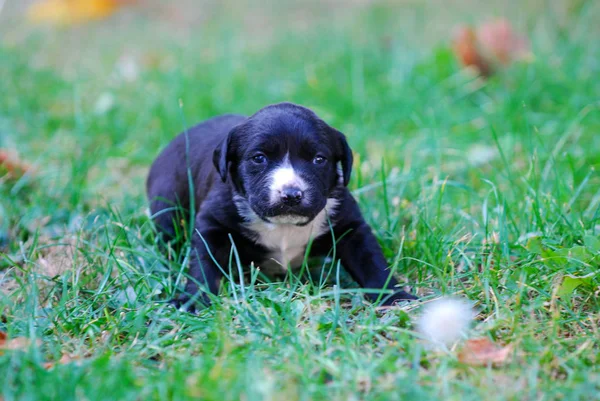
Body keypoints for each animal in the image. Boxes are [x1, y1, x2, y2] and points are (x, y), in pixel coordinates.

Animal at [147, 101, 418, 308]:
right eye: (259, 158)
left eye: (319, 159)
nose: (291, 195)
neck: (283, 226)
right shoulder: (213, 224)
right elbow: (204, 264)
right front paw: (193, 299)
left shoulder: (349, 226)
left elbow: (371, 261)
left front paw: (395, 296)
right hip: (167, 204)